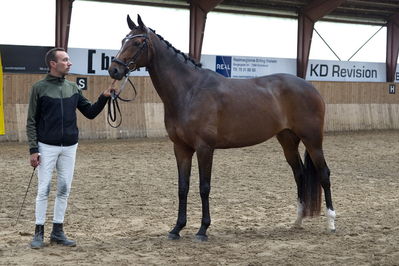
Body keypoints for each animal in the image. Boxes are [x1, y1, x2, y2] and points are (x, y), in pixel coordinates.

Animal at [108, 14, 336, 241]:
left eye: (137, 42)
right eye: (123, 40)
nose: (114, 69)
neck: (189, 91)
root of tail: (310, 88)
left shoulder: (204, 148)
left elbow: (204, 187)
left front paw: (202, 230)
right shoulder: (181, 148)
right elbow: (183, 187)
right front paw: (177, 228)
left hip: (312, 140)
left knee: (324, 173)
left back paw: (331, 223)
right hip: (287, 139)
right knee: (299, 174)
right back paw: (297, 221)